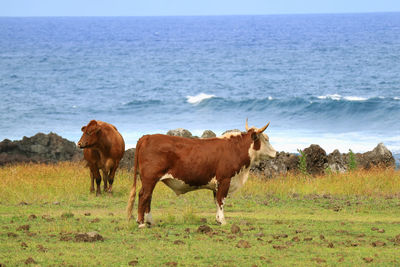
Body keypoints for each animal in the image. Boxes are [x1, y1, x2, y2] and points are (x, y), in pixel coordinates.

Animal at [126, 120, 276, 229]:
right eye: (266, 138)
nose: (276, 153)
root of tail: (147, 136)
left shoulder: (217, 184)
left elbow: (217, 201)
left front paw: (218, 220)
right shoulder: (225, 179)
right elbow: (221, 201)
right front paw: (223, 221)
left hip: (150, 180)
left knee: (148, 197)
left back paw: (150, 221)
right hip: (149, 178)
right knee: (144, 196)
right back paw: (141, 223)